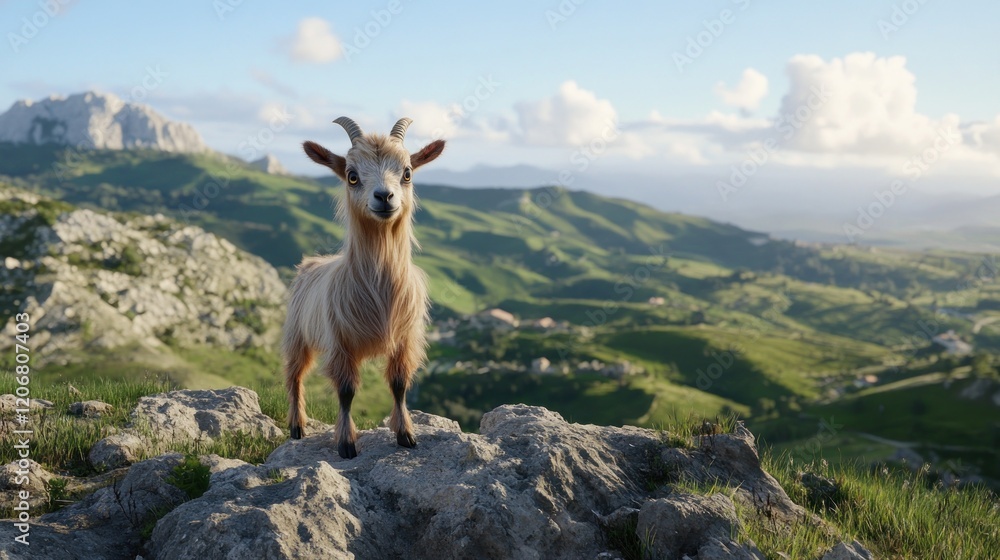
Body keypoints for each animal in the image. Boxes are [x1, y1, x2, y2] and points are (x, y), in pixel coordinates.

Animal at [283, 116, 445, 459]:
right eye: (352, 176)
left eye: (407, 172)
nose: (384, 196)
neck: (380, 289)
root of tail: (310, 264)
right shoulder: (340, 342)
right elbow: (346, 392)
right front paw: (346, 443)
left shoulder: (404, 340)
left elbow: (399, 385)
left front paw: (406, 433)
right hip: (296, 335)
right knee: (295, 376)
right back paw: (297, 426)